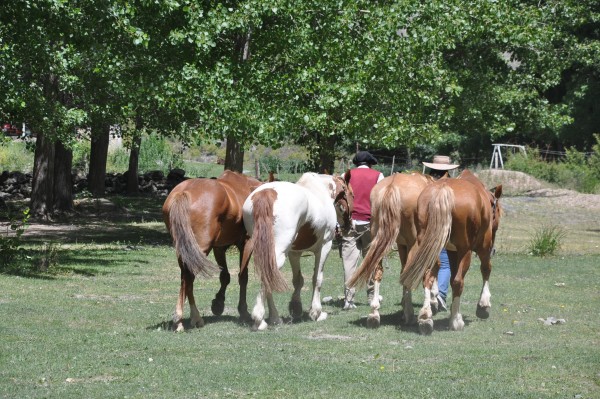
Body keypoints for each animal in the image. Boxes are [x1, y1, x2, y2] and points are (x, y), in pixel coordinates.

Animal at [162, 170, 262, 332]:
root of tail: (184, 192)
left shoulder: (219, 247)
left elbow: (225, 276)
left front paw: (218, 304)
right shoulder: (248, 242)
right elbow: (243, 277)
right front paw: (243, 311)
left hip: (184, 250)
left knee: (185, 278)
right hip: (199, 250)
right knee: (188, 278)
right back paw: (188, 318)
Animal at [240, 172, 352, 332]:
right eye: (350, 193)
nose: (349, 224)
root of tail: (267, 192)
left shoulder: (295, 253)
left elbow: (298, 280)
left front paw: (296, 308)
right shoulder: (325, 246)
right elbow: (317, 279)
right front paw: (316, 313)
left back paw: (274, 318)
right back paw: (259, 319)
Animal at [346, 172, 436, 328]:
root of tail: (392, 186)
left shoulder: (402, 245)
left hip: (377, 239)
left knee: (378, 271)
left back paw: (375, 313)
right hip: (415, 243)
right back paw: (421, 316)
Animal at [400, 170, 504, 336]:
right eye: (498, 211)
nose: (494, 249)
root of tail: (442, 190)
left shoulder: (451, 251)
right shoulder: (482, 247)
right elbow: (486, 269)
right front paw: (483, 305)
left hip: (428, 247)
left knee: (427, 275)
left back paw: (425, 317)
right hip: (465, 251)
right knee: (458, 281)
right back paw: (456, 320)